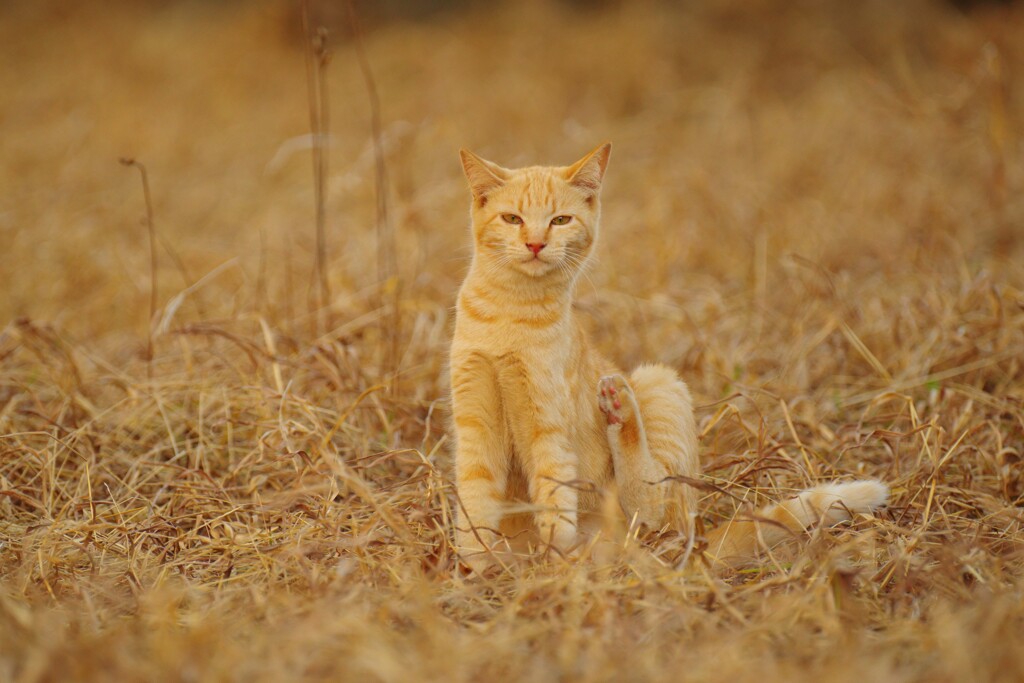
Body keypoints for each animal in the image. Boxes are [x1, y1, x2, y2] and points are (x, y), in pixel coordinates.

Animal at [450, 143, 888, 573]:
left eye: (560, 220)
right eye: (512, 218)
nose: (536, 244)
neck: (510, 312)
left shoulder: (547, 428)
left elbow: (554, 497)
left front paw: (553, 562)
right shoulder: (474, 422)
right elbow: (475, 500)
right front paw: (475, 568)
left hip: (659, 382)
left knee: (652, 509)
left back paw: (619, 409)